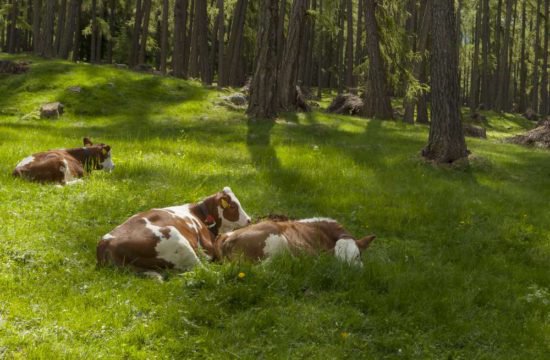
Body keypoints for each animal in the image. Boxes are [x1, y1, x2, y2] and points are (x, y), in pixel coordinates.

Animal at [98, 187, 253, 274]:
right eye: (232, 206)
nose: (249, 220)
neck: (199, 214)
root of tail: (106, 244)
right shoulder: (207, 248)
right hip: (176, 239)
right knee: (202, 270)